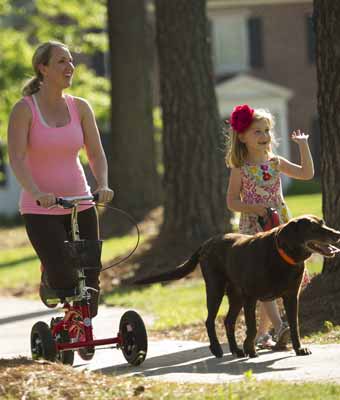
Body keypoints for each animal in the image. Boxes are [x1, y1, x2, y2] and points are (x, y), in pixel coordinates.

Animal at [135, 216, 340, 360]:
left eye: (323, 223)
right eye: (313, 228)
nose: (337, 233)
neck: (283, 256)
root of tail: (206, 243)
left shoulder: (291, 297)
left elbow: (294, 325)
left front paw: (299, 348)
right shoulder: (251, 297)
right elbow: (252, 327)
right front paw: (251, 349)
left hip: (235, 296)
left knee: (228, 321)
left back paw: (235, 349)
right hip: (216, 289)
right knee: (210, 321)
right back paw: (217, 349)